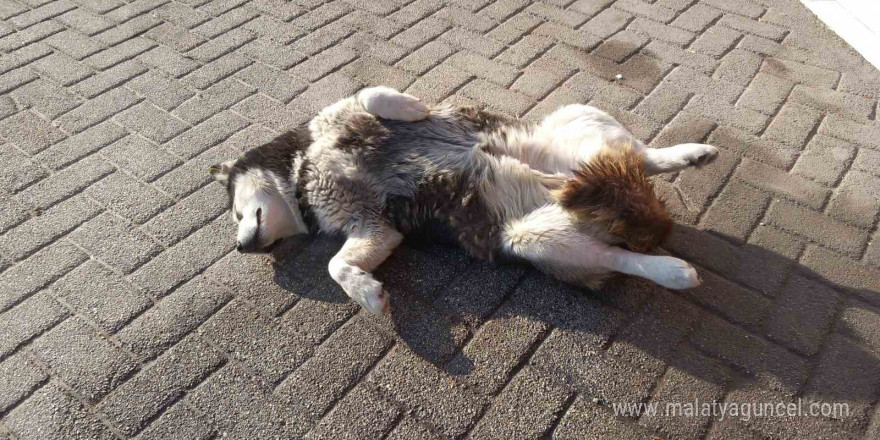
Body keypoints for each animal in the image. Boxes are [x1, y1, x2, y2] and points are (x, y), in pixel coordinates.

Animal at [210, 86, 720, 312]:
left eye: (236, 211)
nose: (240, 246)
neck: (303, 170)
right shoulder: (373, 227)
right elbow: (339, 264)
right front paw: (368, 293)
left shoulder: (342, 114)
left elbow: (371, 94)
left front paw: (409, 107)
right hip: (530, 237)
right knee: (620, 255)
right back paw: (671, 269)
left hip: (578, 117)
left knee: (644, 157)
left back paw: (689, 154)